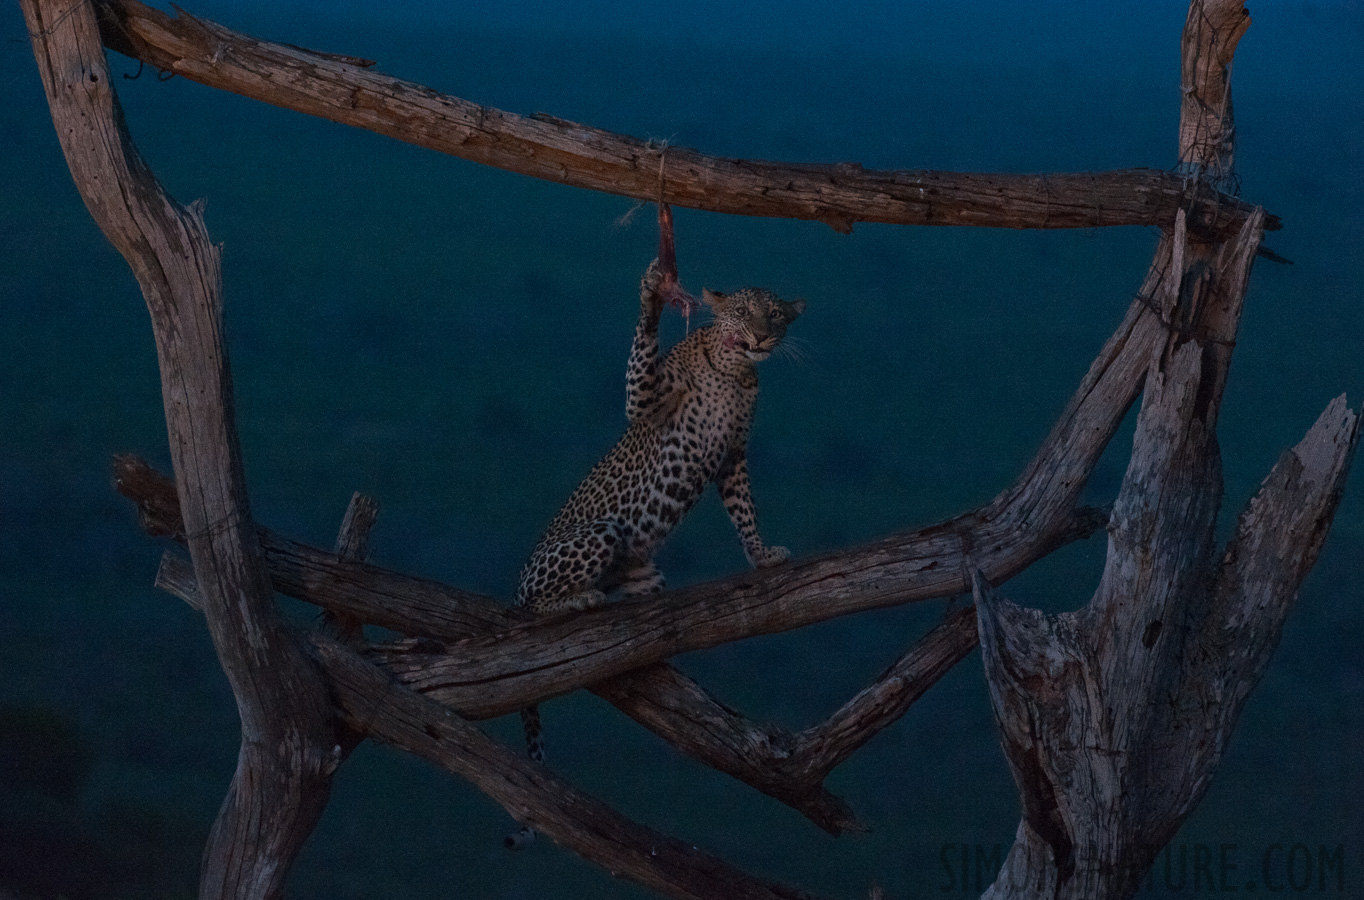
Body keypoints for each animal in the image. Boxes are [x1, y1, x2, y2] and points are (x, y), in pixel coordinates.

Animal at [507, 201, 802, 845]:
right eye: (741, 312)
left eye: (775, 316)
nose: (763, 337)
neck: (738, 371)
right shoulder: (646, 398)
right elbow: (641, 351)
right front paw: (651, 292)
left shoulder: (733, 456)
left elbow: (745, 510)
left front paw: (761, 554)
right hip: (595, 537)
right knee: (536, 608)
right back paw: (577, 601)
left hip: (645, 573)